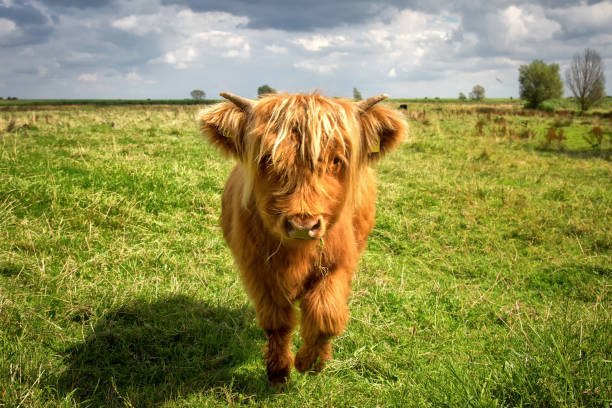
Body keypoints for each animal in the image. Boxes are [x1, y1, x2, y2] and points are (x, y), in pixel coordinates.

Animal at [198, 91, 404, 384]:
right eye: (268, 158)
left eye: (336, 160)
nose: (302, 225)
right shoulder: (258, 271)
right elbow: (277, 322)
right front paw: (278, 371)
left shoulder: (339, 264)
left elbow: (326, 315)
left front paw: (310, 362)